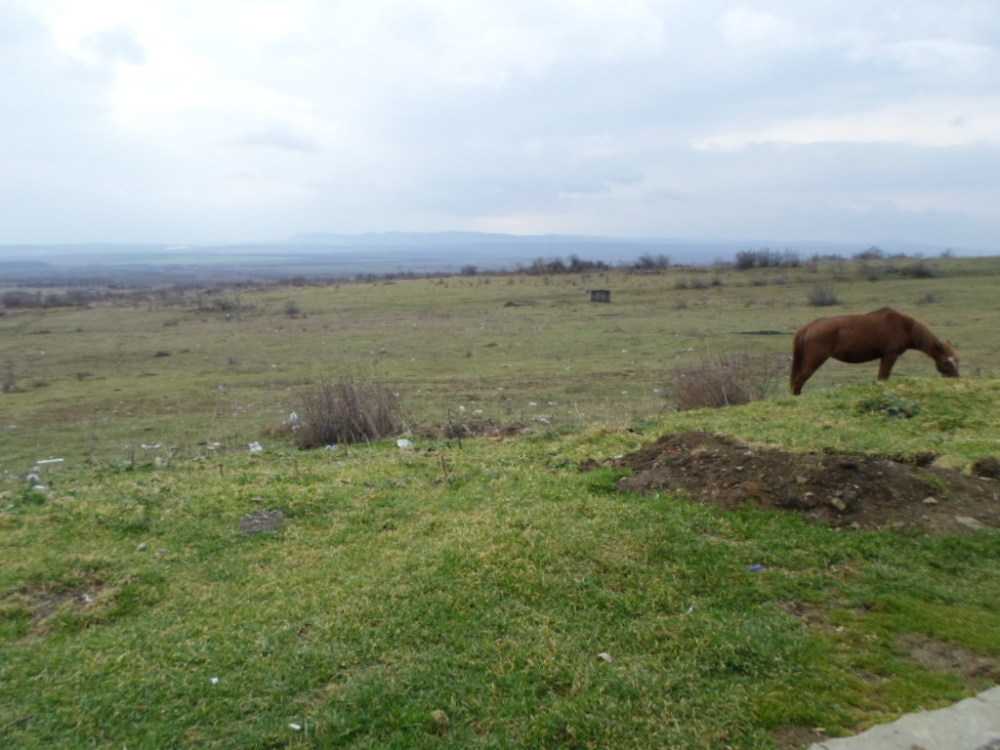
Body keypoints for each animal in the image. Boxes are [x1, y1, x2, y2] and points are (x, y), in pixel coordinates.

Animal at [788, 308, 960, 396]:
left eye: (957, 360)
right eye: (947, 361)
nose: (956, 379)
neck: (905, 327)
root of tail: (808, 327)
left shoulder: (885, 357)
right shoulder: (890, 355)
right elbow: (883, 378)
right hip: (815, 360)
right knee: (799, 381)